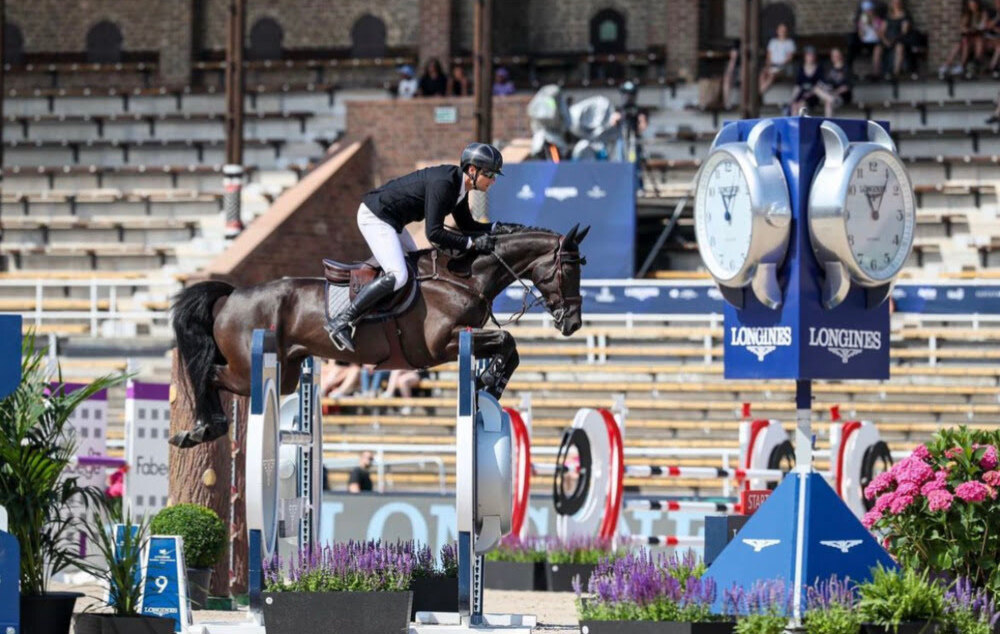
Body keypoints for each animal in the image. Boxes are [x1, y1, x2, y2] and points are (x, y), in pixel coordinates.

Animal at [169, 222, 588, 444]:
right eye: (568, 270)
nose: (572, 323)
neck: (464, 276)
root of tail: (231, 295)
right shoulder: (442, 343)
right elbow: (507, 341)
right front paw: (491, 381)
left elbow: (509, 347)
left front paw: (489, 382)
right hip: (246, 367)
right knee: (206, 373)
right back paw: (203, 428)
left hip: (285, 373)